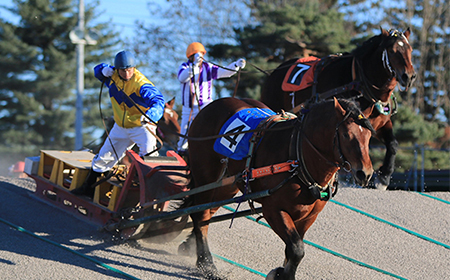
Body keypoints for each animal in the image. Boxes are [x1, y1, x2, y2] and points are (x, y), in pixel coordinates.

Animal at [185, 98, 374, 280]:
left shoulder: (308, 217)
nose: (365, 173)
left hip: (226, 185)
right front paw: (283, 275)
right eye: (346, 134)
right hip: (206, 177)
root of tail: (210, 107)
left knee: (205, 213)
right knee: (200, 215)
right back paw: (206, 264)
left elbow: (292, 251)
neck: (298, 157)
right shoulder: (273, 210)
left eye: (369, 136)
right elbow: (297, 249)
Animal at [262, 29, 416, 190]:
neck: (358, 82)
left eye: (410, 49)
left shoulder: (377, 124)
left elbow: (392, 144)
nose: (409, 76)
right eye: (392, 51)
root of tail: (273, 73)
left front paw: (384, 177)